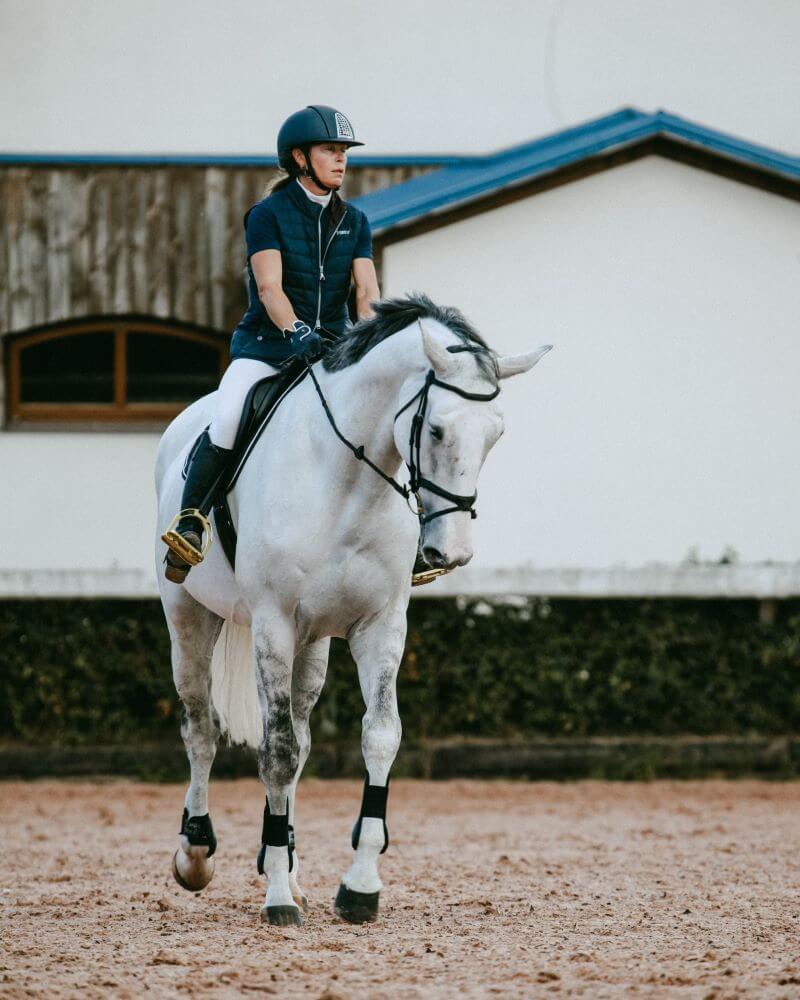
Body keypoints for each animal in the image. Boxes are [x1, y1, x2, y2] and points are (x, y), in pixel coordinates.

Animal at [155, 292, 552, 924]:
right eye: (435, 428)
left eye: (496, 434)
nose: (454, 553)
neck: (347, 481)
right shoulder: (272, 623)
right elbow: (275, 751)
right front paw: (275, 899)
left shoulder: (380, 626)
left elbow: (378, 736)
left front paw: (358, 886)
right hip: (189, 616)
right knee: (201, 728)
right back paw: (196, 854)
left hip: (313, 643)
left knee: (299, 734)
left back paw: (288, 866)